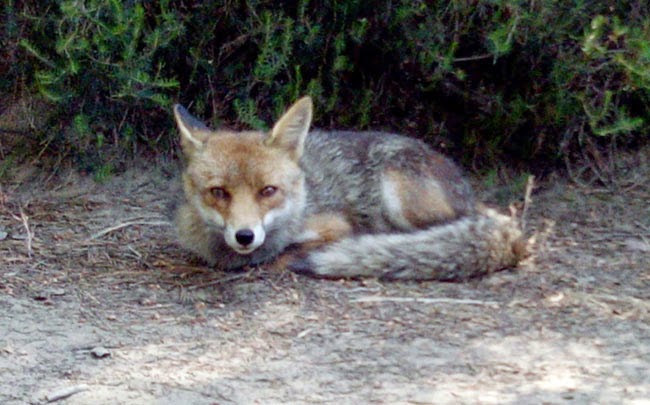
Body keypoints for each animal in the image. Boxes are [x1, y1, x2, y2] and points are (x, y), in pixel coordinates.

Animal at [173, 97, 528, 280]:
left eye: (268, 191)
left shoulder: (336, 226)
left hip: (397, 193)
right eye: (219, 192)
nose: (244, 236)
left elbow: (289, 252)